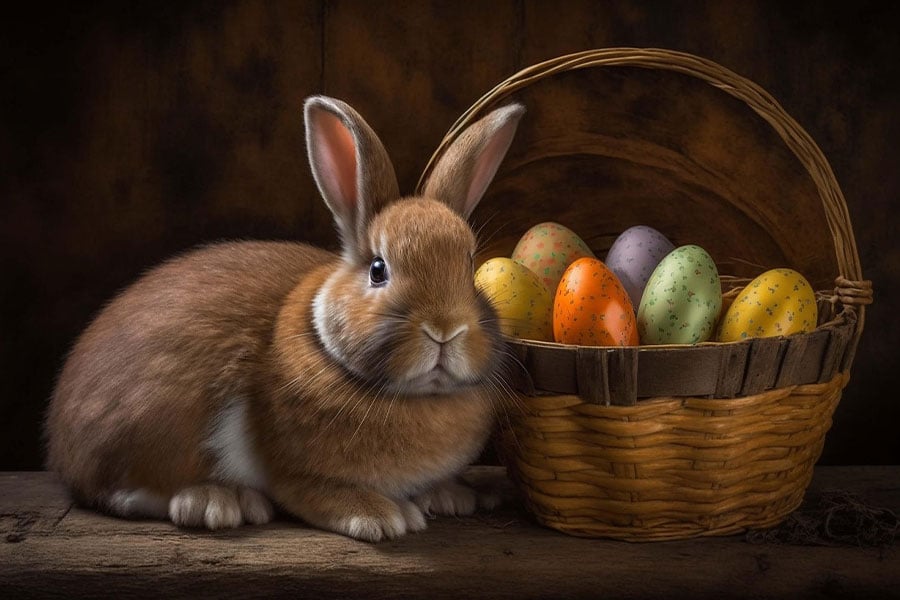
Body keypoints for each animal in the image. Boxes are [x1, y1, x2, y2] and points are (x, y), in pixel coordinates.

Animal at [44, 95, 524, 542]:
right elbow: (314, 492)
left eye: (469, 266)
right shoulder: (292, 473)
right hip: (160, 419)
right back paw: (218, 501)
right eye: (378, 269)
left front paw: (453, 496)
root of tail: (58, 442)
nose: (445, 329)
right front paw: (380, 516)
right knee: (125, 492)